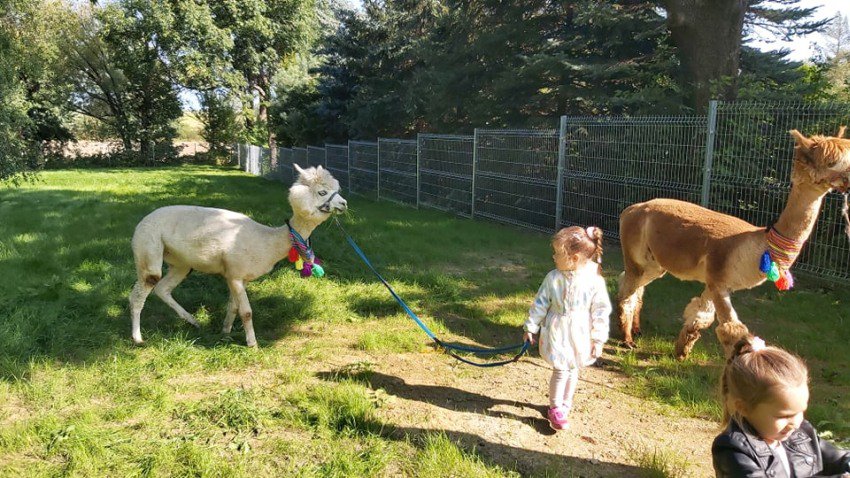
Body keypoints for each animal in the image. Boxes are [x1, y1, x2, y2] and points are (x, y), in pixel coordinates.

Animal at [129, 164, 347, 347]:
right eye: (322, 192)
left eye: (337, 190)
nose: (344, 203)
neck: (267, 241)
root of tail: (140, 223)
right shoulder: (235, 273)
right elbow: (246, 312)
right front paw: (252, 344)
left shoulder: (240, 276)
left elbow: (233, 308)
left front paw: (225, 332)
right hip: (148, 245)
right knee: (142, 290)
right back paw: (138, 338)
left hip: (181, 263)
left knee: (162, 289)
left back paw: (193, 321)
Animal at [617, 127, 850, 359]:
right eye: (832, 162)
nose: (848, 181)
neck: (756, 246)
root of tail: (632, 208)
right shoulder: (718, 280)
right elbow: (732, 328)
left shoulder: (714, 282)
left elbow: (700, 317)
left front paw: (682, 351)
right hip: (635, 255)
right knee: (626, 293)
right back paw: (627, 339)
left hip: (655, 264)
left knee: (635, 288)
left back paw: (636, 329)